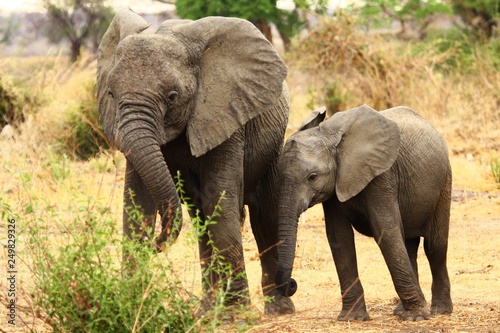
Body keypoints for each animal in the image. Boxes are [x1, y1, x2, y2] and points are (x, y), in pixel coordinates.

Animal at [97, 9, 292, 312]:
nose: (157, 244)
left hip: (274, 143)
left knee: (264, 214)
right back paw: (208, 309)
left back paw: (277, 309)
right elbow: (137, 204)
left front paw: (236, 316)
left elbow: (220, 200)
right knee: (201, 219)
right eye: (110, 94)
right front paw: (128, 306)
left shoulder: (224, 113)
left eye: (172, 96)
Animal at [274, 105, 454, 320]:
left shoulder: (381, 175)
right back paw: (400, 311)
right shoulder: (335, 188)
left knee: (434, 246)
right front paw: (352, 318)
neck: (329, 136)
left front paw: (417, 317)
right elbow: (339, 237)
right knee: (408, 244)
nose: (292, 284)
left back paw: (439, 311)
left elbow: (385, 231)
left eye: (312, 177)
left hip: (444, 182)